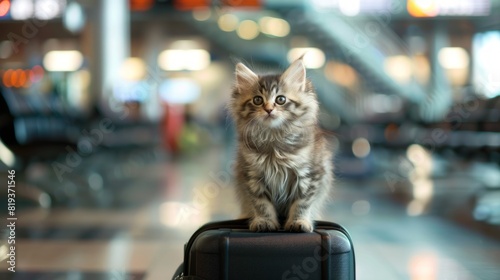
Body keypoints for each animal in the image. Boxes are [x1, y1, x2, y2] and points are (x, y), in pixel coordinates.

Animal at [231, 57, 336, 232]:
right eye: (257, 100)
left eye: (280, 99)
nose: (268, 109)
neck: (274, 140)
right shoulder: (252, 176)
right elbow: (261, 204)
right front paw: (265, 222)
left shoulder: (310, 176)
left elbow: (302, 204)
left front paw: (298, 222)